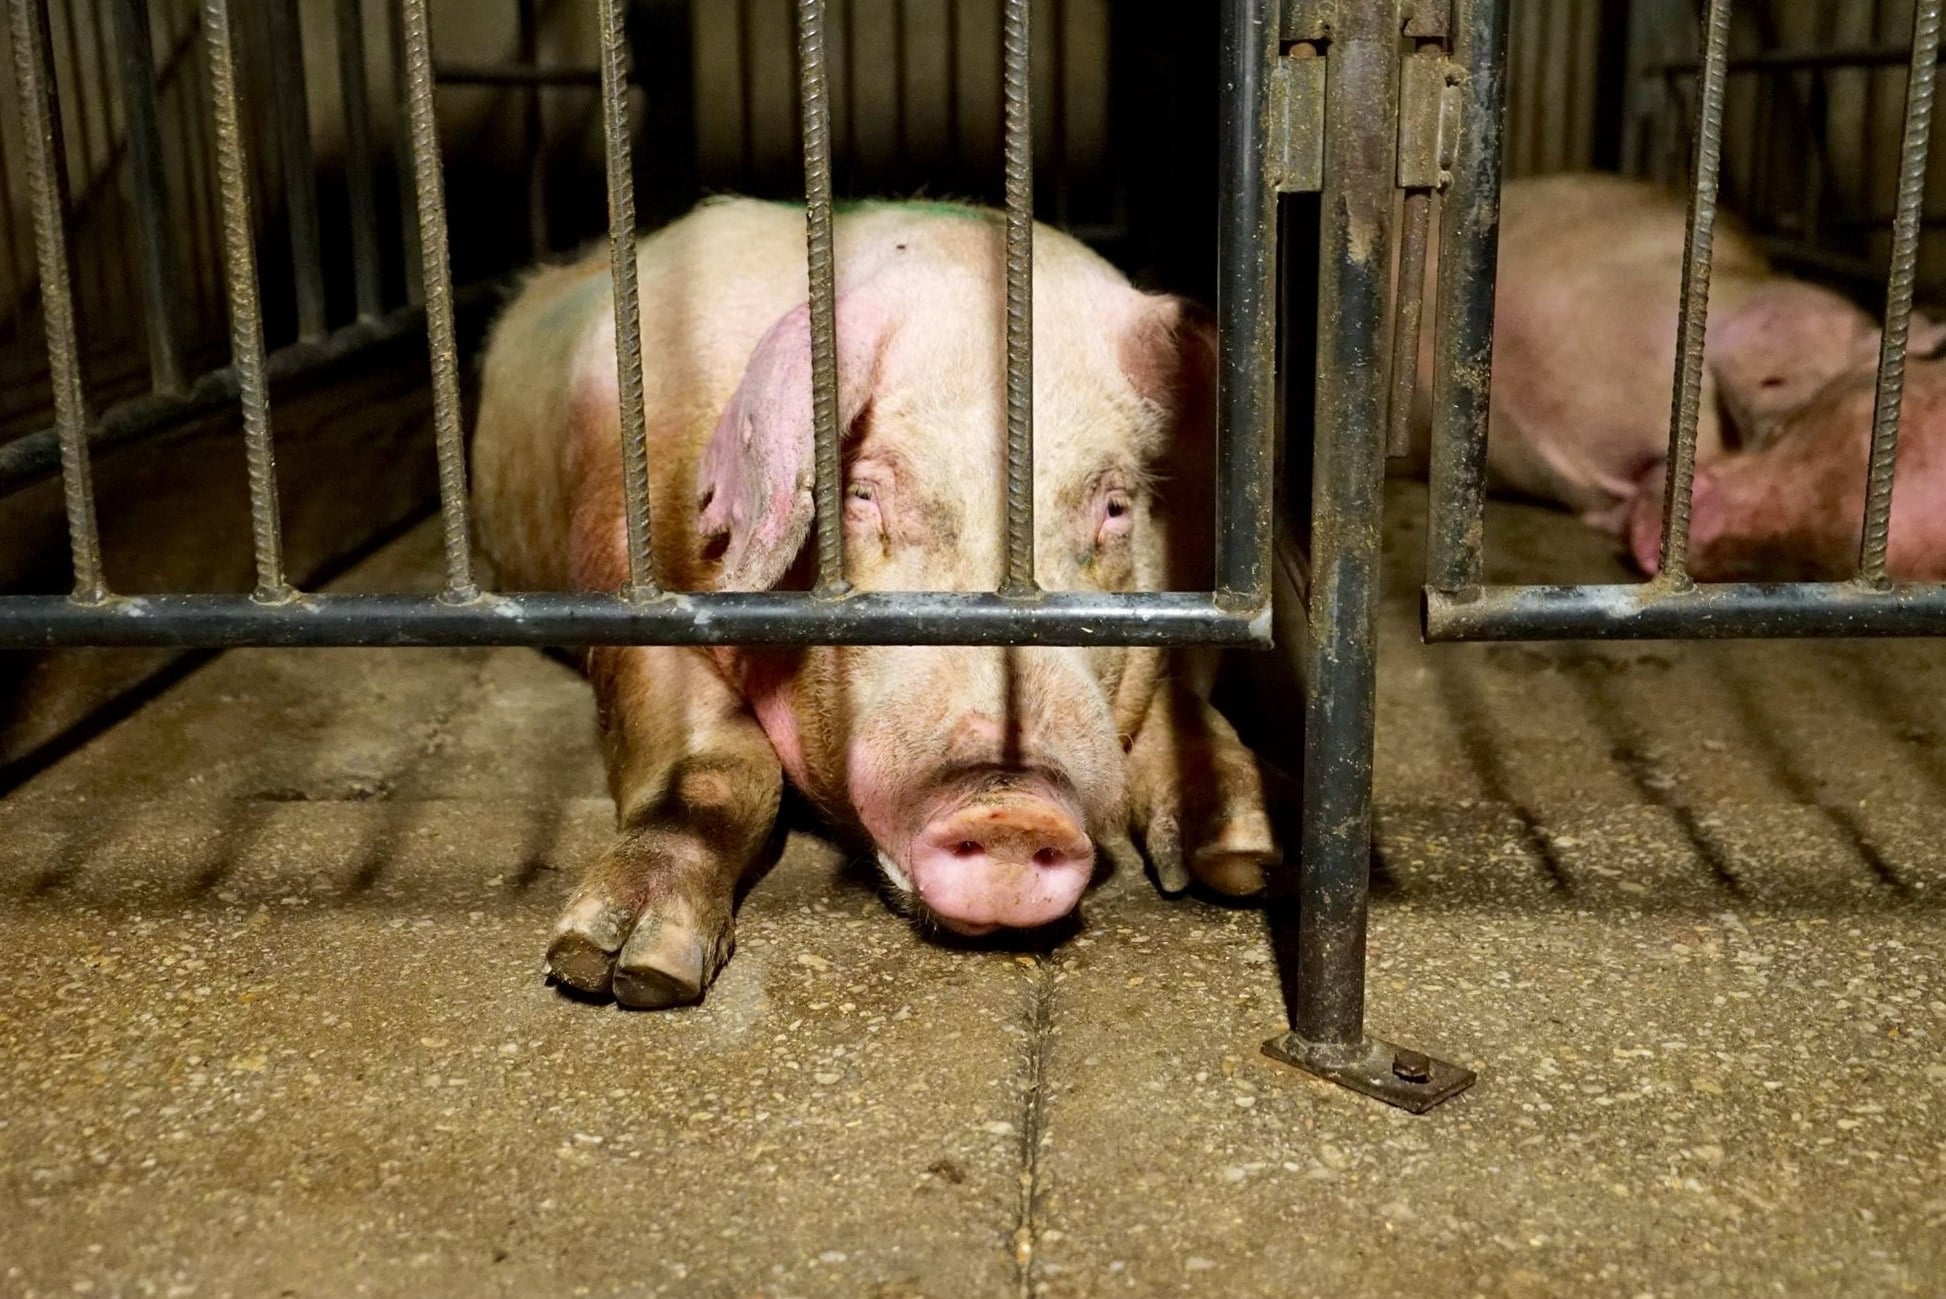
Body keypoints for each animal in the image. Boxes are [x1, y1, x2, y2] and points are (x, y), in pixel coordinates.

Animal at [470, 198, 1279, 1008]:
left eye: (1114, 507)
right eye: (862, 494)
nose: (1014, 807)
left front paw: (1240, 856)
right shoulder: (623, 571)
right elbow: (719, 762)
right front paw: (625, 967)